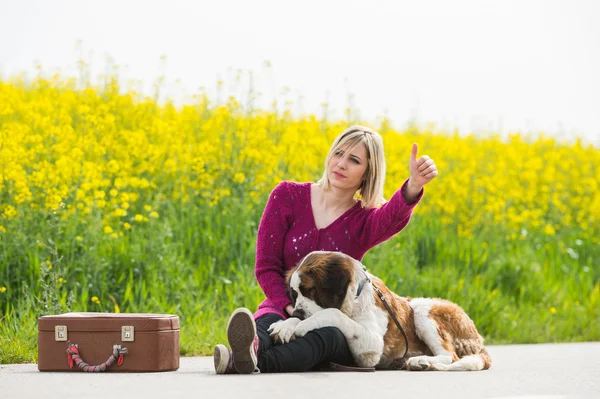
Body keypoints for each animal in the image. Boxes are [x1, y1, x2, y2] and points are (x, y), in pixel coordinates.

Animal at [268, 253, 492, 372]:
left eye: (310, 290)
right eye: (294, 294)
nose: (297, 313)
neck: (353, 300)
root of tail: (479, 338)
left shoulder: (372, 347)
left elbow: (332, 313)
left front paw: (302, 324)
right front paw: (286, 325)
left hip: (422, 309)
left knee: (450, 357)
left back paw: (423, 362)